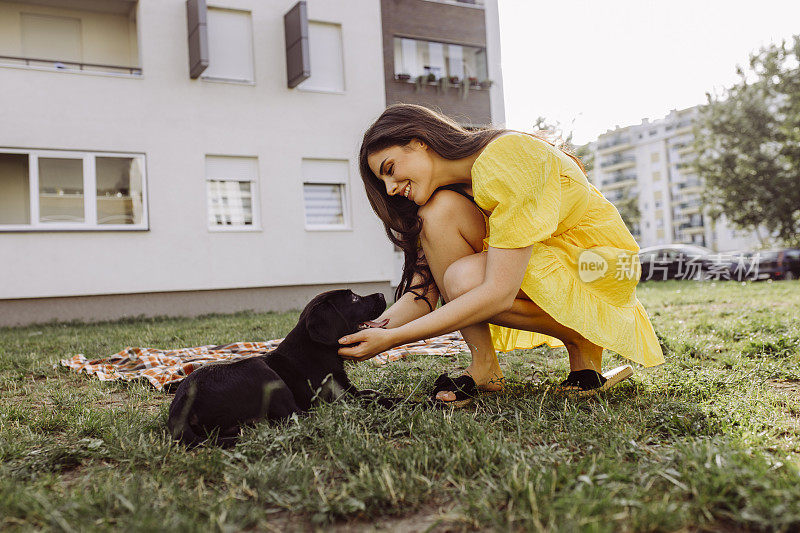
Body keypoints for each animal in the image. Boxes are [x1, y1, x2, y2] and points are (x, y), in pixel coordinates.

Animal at [170, 288, 390, 446]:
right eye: (353, 298)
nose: (381, 294)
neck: (318, 352)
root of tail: (180, 407)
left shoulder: (350, 391)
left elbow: (372, 393)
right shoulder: (338, 398)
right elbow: (373, 400)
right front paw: (396, 402)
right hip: (262, 372)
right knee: (299, 417)